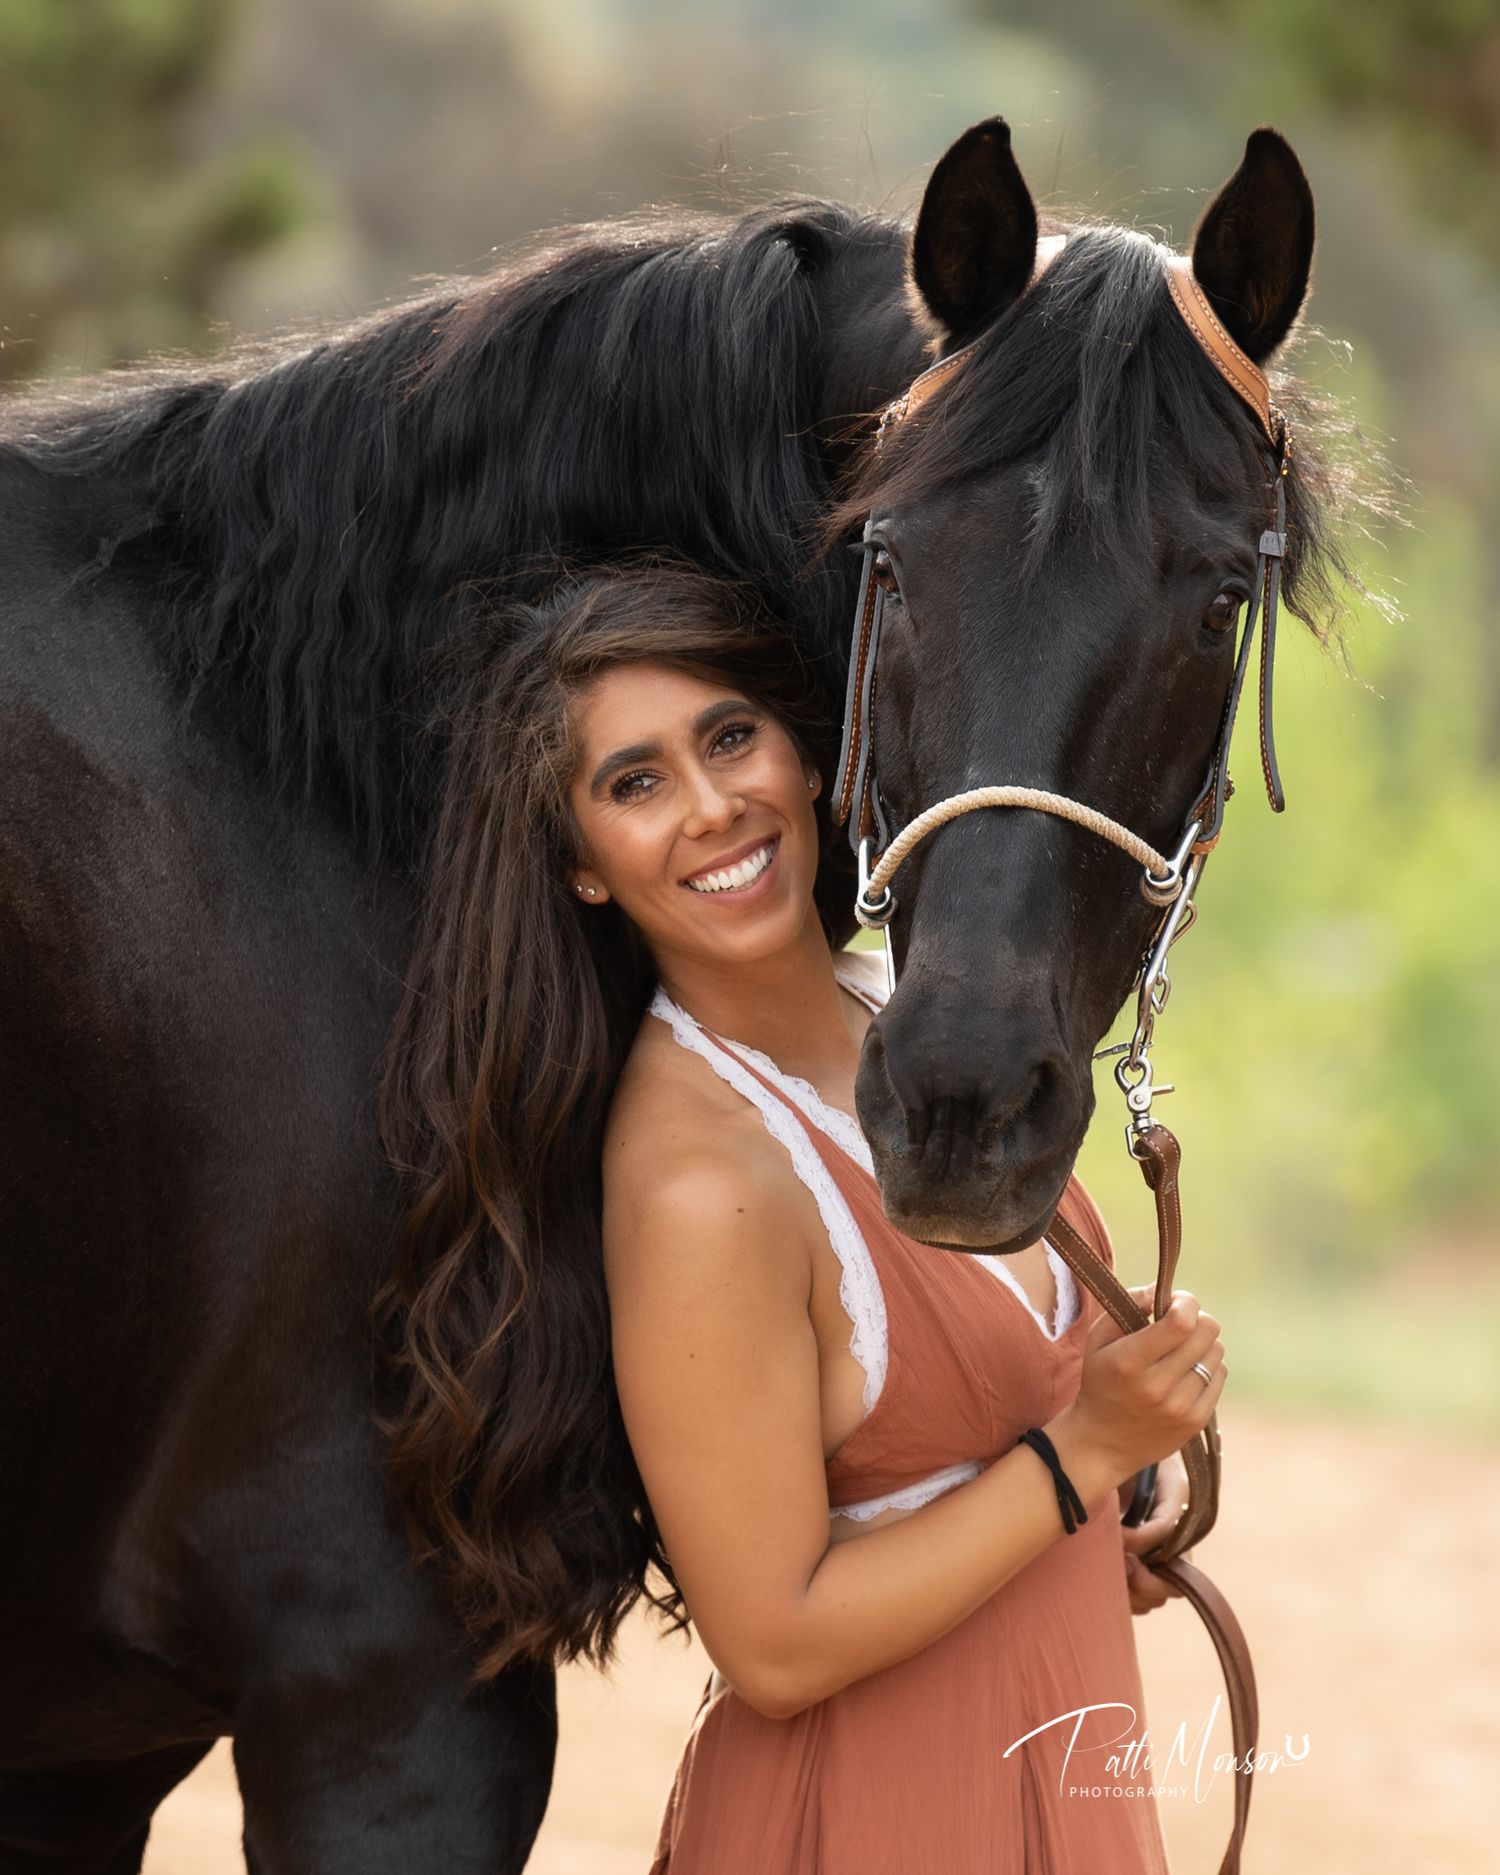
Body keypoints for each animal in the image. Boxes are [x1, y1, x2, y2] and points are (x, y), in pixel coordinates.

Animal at [0, 117, 1347, 1871]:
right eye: (890, 559)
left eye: (1212, 602)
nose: (963, 1102)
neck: (309, 773)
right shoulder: (385, 1703)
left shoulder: (82, 1760)